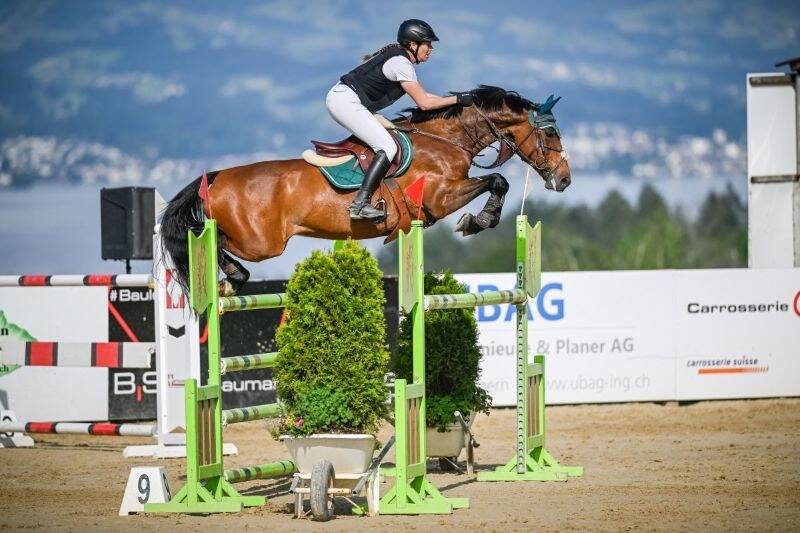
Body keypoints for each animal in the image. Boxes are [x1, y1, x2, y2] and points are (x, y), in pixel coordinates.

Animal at [160, 85, 571, 294]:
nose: (565, 180)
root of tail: (216, 176)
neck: (444, 140)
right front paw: (477, 220)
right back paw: (233, 276)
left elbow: (496, 181)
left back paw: (234, 278)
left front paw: (479, 220)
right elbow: (497, 180)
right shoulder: (439, 198)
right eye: (551, 133)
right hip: (261, 242)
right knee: (208, 240)